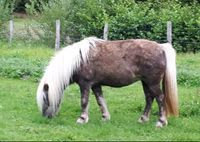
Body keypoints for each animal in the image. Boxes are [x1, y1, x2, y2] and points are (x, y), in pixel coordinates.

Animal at [36, 37, 179, 127]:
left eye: (45, 98)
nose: (45, 117)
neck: (78, 60)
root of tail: (161, 47)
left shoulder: (85, 84)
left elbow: (84, 101)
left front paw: (82, 119)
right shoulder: (96, 85)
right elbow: (100, 100)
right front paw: (105, 117)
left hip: (152, 82)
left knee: (160, 98)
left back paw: (161, 122)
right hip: (146, 82)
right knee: (149, 98)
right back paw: (143, 119)